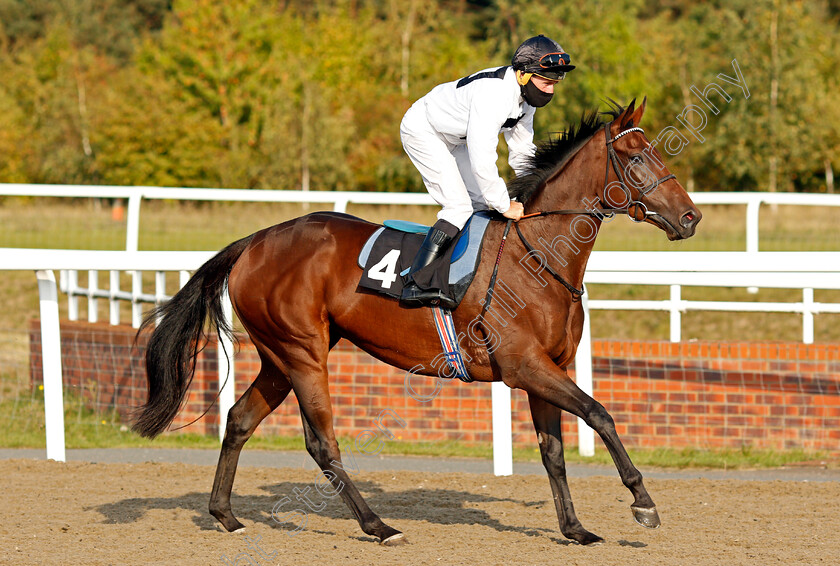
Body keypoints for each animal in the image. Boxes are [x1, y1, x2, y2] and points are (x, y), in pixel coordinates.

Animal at [135, 100, 704, 548]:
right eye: (636, 157)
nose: (691, 218)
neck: (539, 255)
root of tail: (254, 240)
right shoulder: (524, 366)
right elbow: (600, 415)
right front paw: (643, 501)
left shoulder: (549, 368)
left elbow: (554, 452)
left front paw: (575, 528)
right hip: (302, 352)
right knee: (322, 443)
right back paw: (378, 526)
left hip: (280, 355)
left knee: (239, 420)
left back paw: (225, 515)